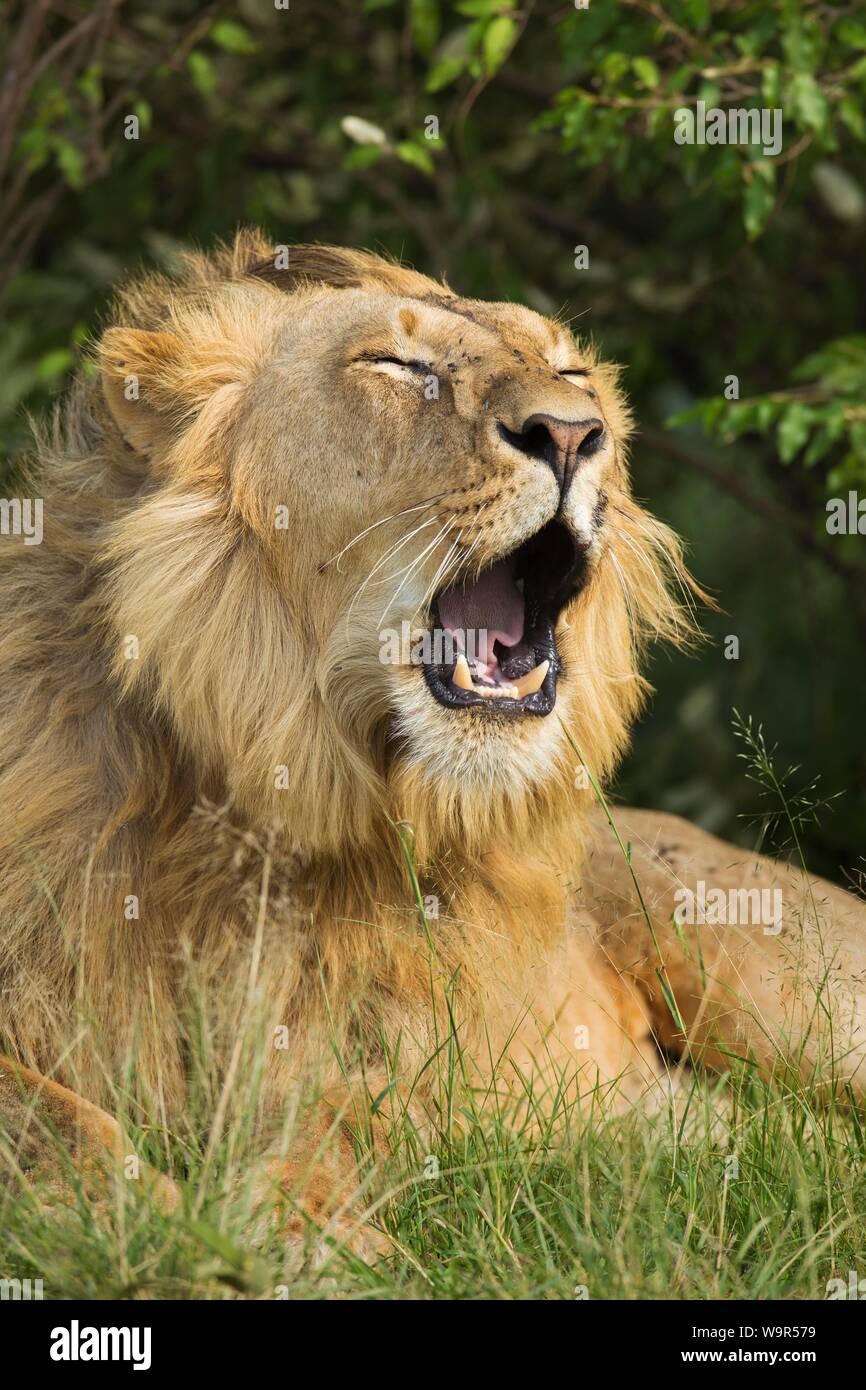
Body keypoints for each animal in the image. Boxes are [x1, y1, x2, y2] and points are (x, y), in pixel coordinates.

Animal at [1, 233, 866, 1256]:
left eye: (574, 375)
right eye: (397, 365)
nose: (572, 435)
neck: (262, 812)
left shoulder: (434, 1052)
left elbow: (343, 1114)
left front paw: (296, 1225)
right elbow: (45, 1118)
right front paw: (138, 1219)